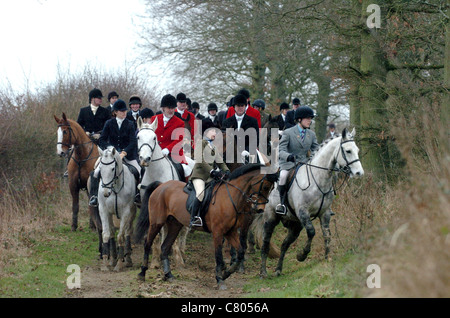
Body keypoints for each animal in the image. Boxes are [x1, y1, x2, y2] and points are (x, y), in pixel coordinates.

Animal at [134, 117, 196, 268]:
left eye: (154, 138)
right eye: (138, 137)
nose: (145, 160)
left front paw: (177, 258)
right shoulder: (151, 208)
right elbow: (156, 235)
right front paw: (156, 260)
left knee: (183, 231)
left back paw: (181, 251)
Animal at [135, 164, 280, 290]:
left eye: (271, 188)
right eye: (265, 186)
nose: (260, 209)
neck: (231, 197)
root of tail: (161, 185)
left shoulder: (230, 232)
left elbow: (240, 253)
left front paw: (226, 273)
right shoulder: (218, 232)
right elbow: (218, 256)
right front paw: (220, 280)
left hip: (175, 224)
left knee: (165, 247)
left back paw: (168, 275)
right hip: (156, 223)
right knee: (148, 243)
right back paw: (142, 273)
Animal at [258, 128, 364, 278]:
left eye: (357, 150)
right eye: (348, 151)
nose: (359, 173)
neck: (318, 180)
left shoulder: (325, 213)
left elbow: (327, 234)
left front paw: (328, 258)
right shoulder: (303, 213)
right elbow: (312, 232)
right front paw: (302, 255)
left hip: (295, 225)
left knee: (285, 244)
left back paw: (278, 269)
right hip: (271, 219)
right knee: (266, 244)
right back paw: (263, 272)